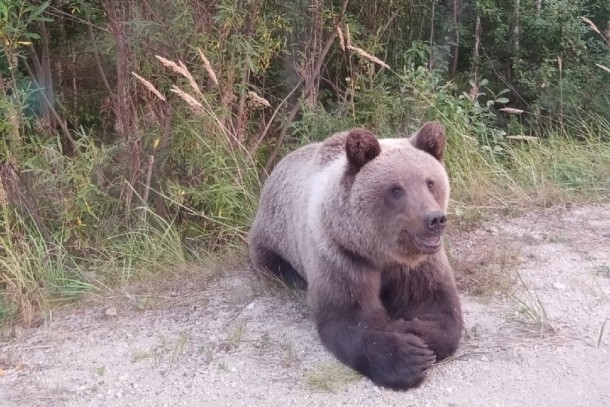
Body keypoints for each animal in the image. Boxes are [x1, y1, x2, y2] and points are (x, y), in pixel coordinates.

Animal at [247, 122, 460, 392]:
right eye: (396, 189)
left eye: (430, 182)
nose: (435, 219)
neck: (378, 252)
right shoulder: (340, 255)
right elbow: (349, 317)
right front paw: (408, 357)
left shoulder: (416, 265)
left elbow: (439, 308)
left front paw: (416, 330)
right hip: (273, 232)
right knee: (270, 261)